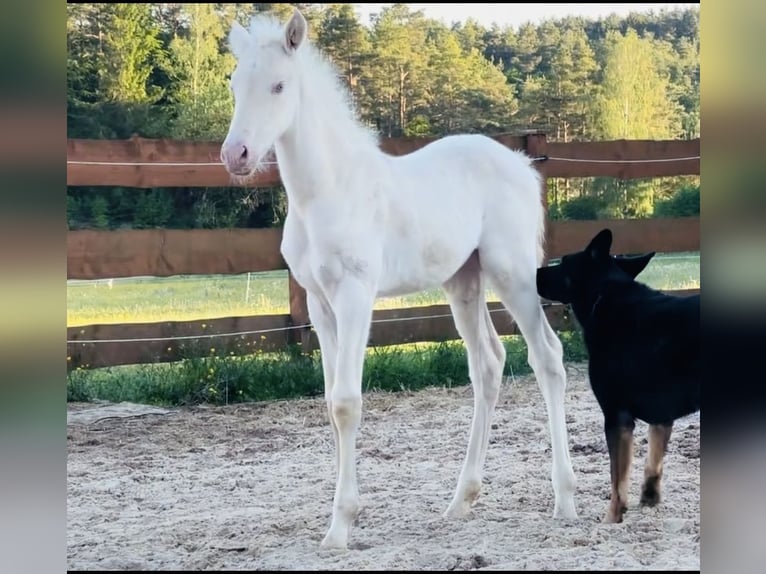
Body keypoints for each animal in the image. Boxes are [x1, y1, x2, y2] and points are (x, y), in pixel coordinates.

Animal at [219, 9, 578, 550]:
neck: (328, 193)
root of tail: (520, 164)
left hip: (512, 273)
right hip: (463, 281)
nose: (235, 154)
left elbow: (347, 402)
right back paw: (461, 500)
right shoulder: (320, 304)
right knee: (488, 364)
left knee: (548, 358)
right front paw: (342, 517)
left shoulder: (355, 295)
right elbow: (330, 402)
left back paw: (564, 500)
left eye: (279, 86)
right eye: (236, 84)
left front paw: (340, 527)